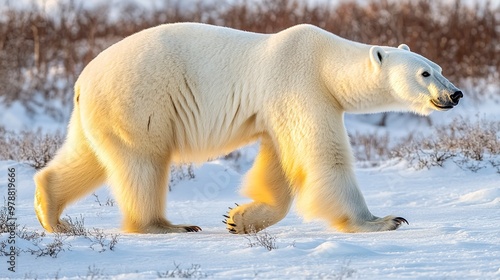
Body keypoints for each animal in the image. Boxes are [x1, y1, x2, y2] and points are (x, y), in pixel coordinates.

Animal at [33, 22, 460, 234]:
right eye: (425, 73)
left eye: (439, 66)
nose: (454, 94)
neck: (325, 60)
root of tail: (82, 79)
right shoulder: (301, 85)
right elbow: (323, 156)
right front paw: (382, 221)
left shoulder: (277, 108)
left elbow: (280, 162)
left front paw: (240, 218)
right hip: (139, 102)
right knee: (143, 162)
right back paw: (167, 226)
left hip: (99, 114)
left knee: (87, 156)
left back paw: (52, 214)